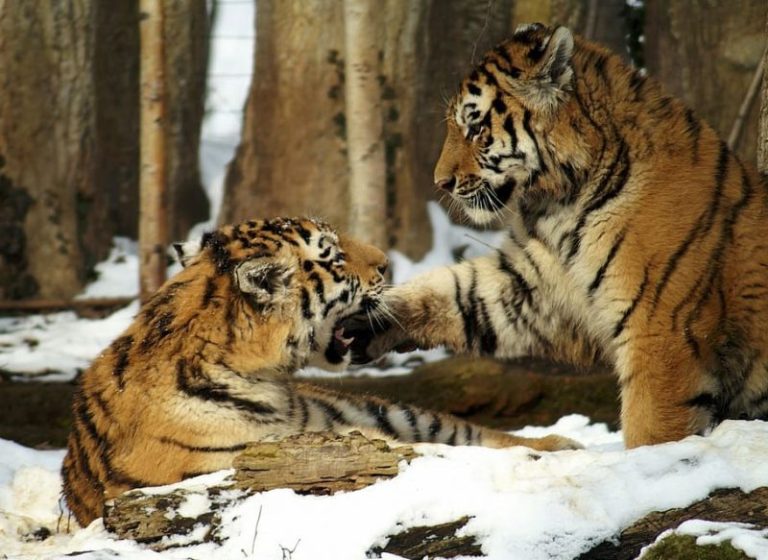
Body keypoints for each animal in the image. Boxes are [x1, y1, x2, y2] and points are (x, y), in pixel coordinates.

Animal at [61, 217, 578, 527]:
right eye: (331, 253)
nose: (386, 264)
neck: (264, 376)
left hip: (391, 412)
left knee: (477, 435)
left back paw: (562, 445)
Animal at [348, 23, 768, 450]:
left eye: (476, 128)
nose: (441, 183)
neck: (562, 204)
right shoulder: (538, 288)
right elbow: (456, 291)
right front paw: (371, 316)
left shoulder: (661, 331)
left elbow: (651, 427)